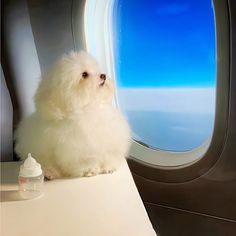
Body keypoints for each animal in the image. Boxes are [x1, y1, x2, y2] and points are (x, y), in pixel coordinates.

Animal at [14, 50, 131, 178]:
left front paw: (109, 167)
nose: (103, 75)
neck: (88, 108)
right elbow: (85, 161)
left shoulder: (110, 140)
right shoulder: (79, 149)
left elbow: (108, 154)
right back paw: (50, 173)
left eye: (96, 70)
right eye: (84, 74)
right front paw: (89, 170)